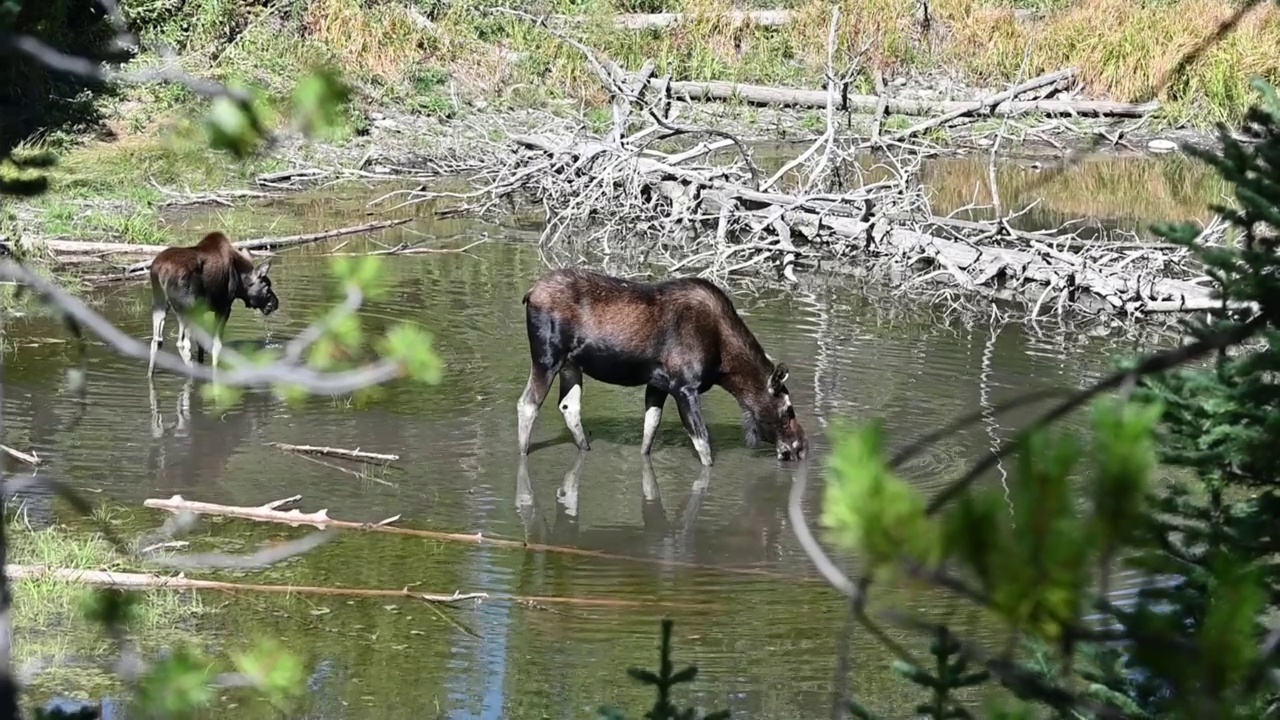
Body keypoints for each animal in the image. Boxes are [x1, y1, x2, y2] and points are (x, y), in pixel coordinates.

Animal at [149, 229, 280, 376]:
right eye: (267, 286)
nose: (275, 303)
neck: (240, 282)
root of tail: (161, 270)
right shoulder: (224, 307)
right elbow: (217, 344)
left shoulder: (202, 311)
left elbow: (201, 343)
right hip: (186, 307)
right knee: (182, 343)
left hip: (159, 303)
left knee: (156, 340)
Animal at [514, 266, 803, 461]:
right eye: (788, 410)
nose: (800, 447)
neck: (725, 366)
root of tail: (529, 293)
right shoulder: (684, 387)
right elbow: (703, 444)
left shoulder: (658, 384)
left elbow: (649, 431)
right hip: (546, 358)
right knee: (527, 404)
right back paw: (523, 454)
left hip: (571, 365)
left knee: (569, 407)